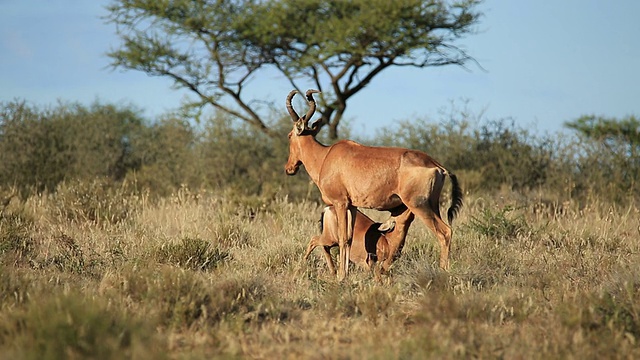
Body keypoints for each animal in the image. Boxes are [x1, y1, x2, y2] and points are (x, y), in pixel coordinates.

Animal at [284, 90, 460, 282]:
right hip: (431, 205)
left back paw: (443, 272)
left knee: (444, 232)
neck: (326, 156)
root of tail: (436, 165)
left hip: (418, 205)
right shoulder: (352, 206)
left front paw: (341, 276)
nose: (289, 168)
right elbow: (349, 238)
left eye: (289, 135)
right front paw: (344, 274)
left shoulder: (340, 203)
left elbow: (343, 238)